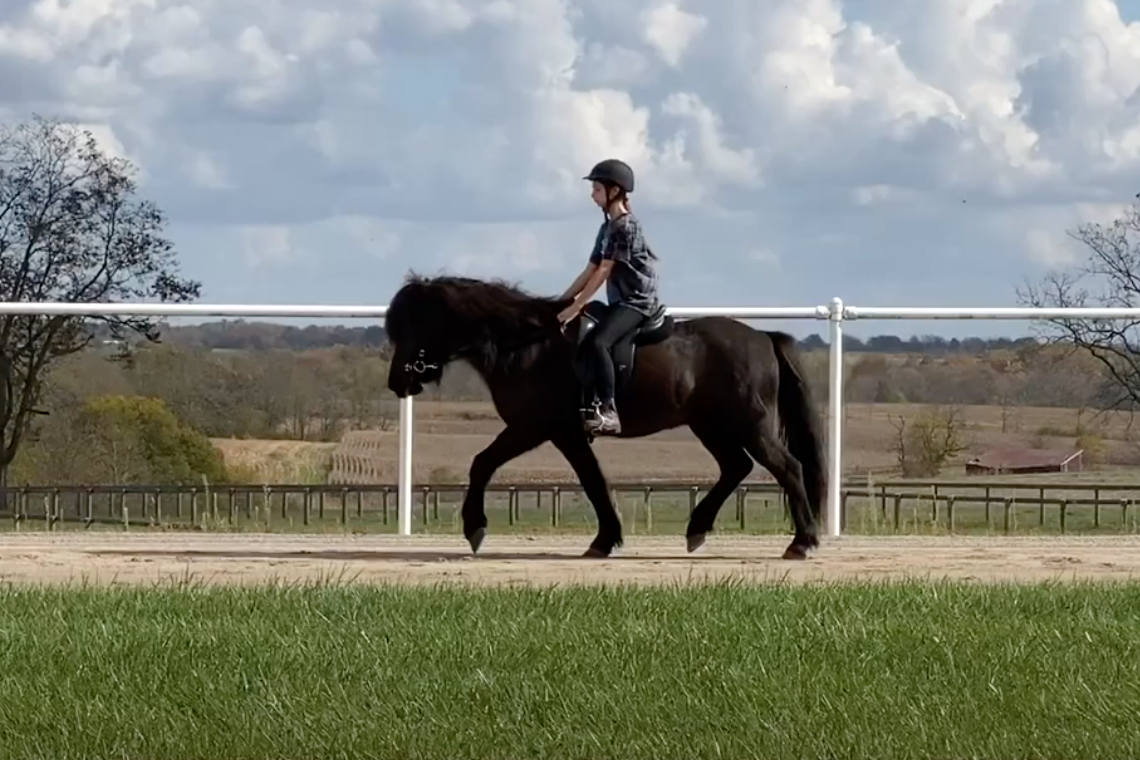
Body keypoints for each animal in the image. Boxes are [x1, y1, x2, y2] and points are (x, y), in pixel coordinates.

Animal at [385, 273, 829, 558]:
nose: (396, 382)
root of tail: (763, 337)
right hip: (711, 426)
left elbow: (483, 463)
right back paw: (697, 529)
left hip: (749, 425)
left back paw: (801, 542)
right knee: (736, 467)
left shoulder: (534, 427)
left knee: (788, 467)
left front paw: (474, 527)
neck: (526, 344)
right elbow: (594, 480)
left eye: (414, 325)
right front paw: (605, 539)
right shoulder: (564, 433)